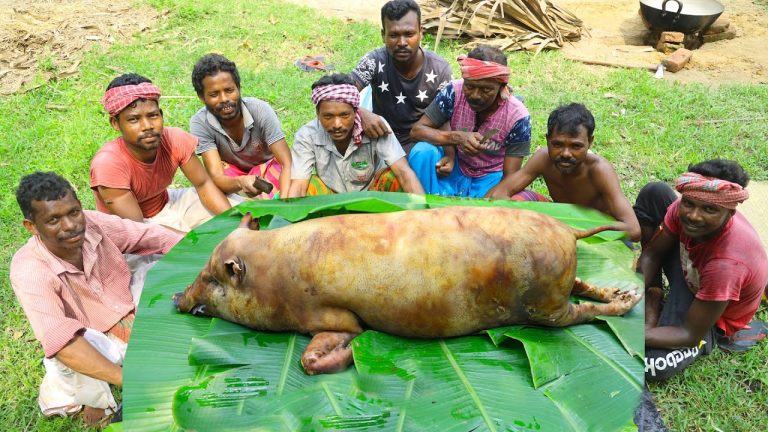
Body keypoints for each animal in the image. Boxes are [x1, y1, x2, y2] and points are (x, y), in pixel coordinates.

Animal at [173, 206, 641, 375]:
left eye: (213, 278)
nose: (178, 297)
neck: (274, 275)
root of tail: (570, 230)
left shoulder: (330, 316)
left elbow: (313, 357)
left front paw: (350, 354)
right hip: (558, 286)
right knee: (585, 287)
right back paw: (625, 295)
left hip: (545, 305)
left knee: (578, 312)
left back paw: (627, 303)